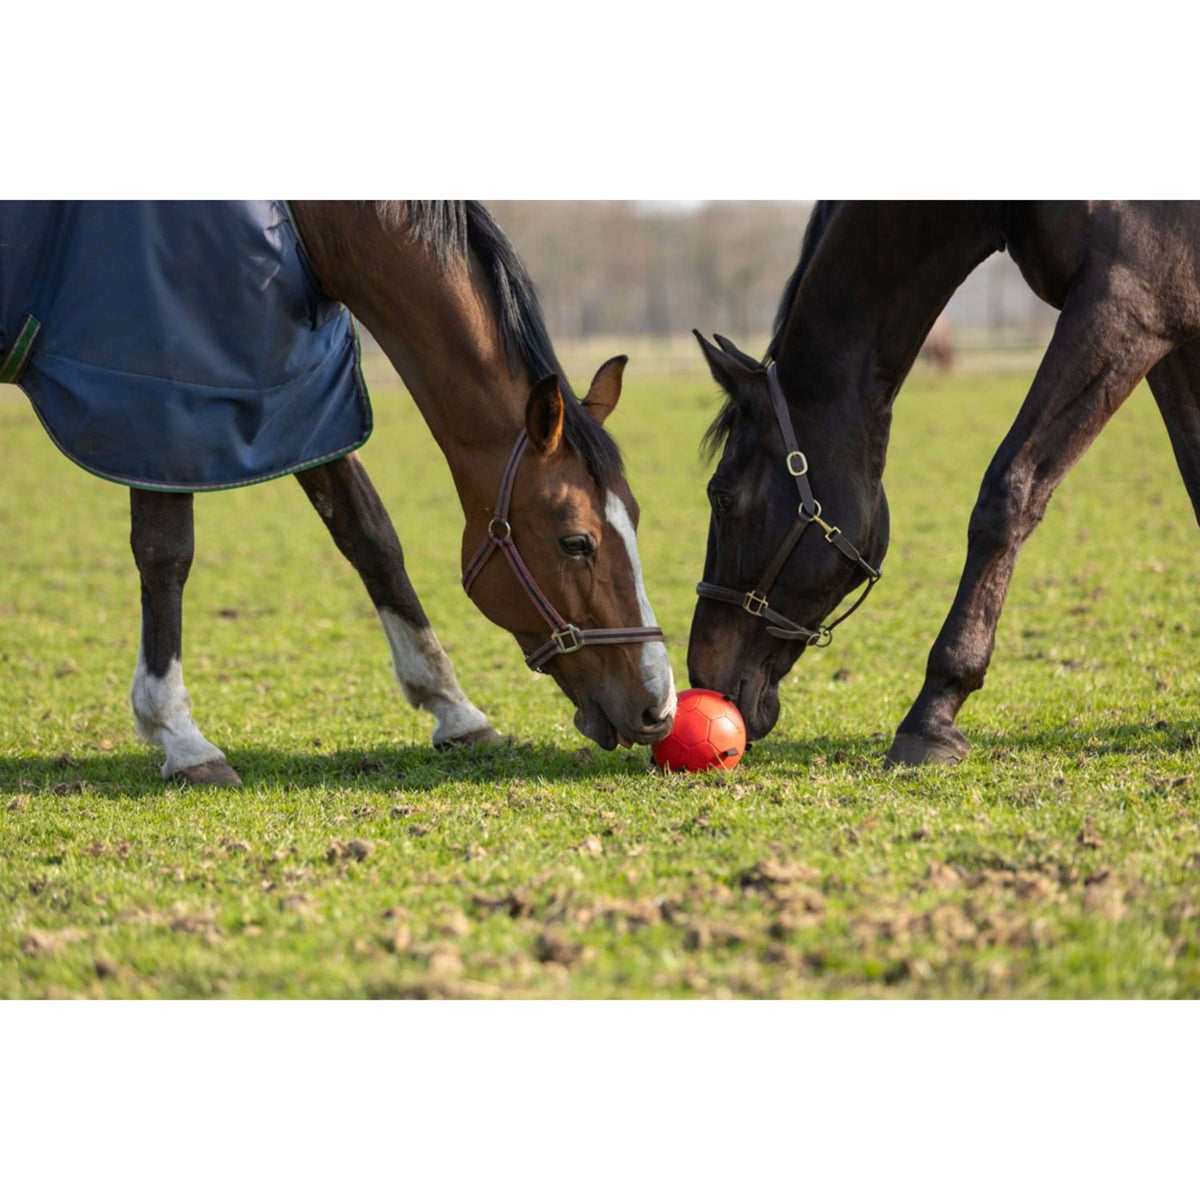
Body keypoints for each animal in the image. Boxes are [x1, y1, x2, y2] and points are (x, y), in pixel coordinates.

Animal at [7, 201, 676, 782]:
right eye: (575, 542)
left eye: (638, 519)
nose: (659, 708)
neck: (303, 224)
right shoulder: (164, 401)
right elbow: (166, 553)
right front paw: (180, 736)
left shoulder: (307, 397)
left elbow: (370, 537)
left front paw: (454, 710)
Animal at [686, 195, 1200, 758]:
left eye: (722, 498)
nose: (701, 674)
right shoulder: (1171, 328)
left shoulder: (1127, 302)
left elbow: (1009, 490)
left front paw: (933, 711)